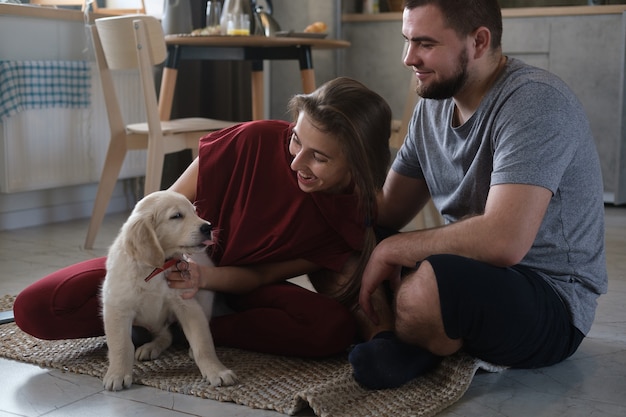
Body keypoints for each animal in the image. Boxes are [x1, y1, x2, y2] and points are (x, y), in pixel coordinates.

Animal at [100, 190, 236, 392]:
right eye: (176, 216)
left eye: (195, 211)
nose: (208, 227)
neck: (154, 268)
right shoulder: (117, 307)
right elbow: (121, 345)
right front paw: (117, 374)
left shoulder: (188, 304)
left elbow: (203, 343)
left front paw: (217, 371)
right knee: (165, 335)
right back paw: (150, 348)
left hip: (204, 298)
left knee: (171, 335)